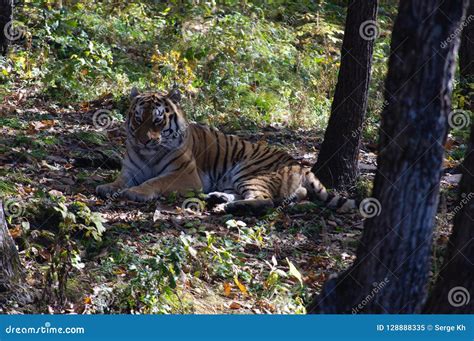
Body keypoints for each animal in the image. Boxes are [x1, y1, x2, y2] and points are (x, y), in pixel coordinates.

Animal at [96, 88, 356, 215]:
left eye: (158, 121)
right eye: (138, 119)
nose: (144, 141)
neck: (148, 155)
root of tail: (298, 163)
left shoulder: (185, 175)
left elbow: (155, 181)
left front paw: (137, 192)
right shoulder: (130, 170)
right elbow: (119, 181)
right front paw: (107, 187)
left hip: (250, 170)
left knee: (266, 200)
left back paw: (231, 206)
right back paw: (218, 198)